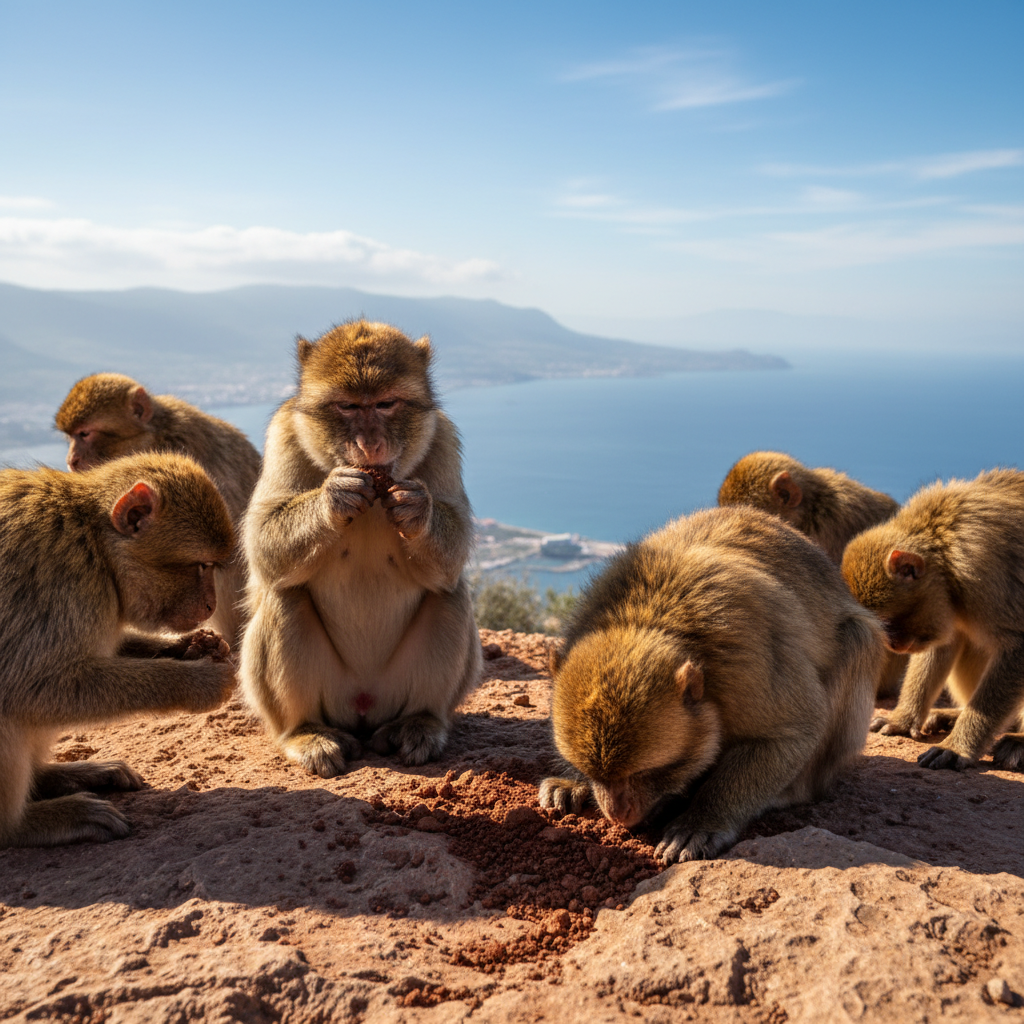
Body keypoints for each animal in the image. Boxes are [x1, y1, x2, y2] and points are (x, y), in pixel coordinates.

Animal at [0, 452, 238, 848]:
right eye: (202, 565)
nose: (210, 605)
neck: (95, 547)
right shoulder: (59, 586)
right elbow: (29, 687)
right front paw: (198, 683)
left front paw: (191, 646)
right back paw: (24, 824)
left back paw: (53, 776)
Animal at [240, 319, 481, 779]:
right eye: (348, 407)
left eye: (386, 403)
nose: (370, 444)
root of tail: (365, 709)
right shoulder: (284, 435)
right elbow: (263, 543)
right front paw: (334, 497)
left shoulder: (442, 438)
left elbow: (454, 551)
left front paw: (417, 510)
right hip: (331, 696)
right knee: (284, 596)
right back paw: (306, 733)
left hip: (394, 692)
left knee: (450, 594)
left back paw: (420, 724)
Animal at [539, 505, 884, 863]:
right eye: (595, 774)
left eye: (646, 773)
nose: (618, 814)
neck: (646, 621)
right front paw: (573, 782)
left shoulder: (746, 659)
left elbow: (792, 731)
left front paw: (705, 817)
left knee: (856, 639)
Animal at [841, 468, 1024, 772]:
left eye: (886, 624)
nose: (894, 646)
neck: (947, 551)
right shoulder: (943, 607)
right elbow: (945, 643)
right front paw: (902, 719)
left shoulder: (986, 573)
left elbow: (1017, 647)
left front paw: (958, 746)